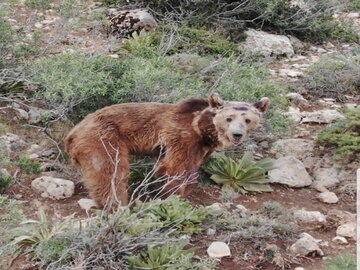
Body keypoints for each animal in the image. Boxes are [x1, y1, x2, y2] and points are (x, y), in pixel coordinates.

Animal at [65, 93, 270, 207]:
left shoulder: (201, 148)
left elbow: (192, 168)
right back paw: (116, 203)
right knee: (110, 171)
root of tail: (72, 133)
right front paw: (173, 195)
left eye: (247, 120)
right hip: (103, 137)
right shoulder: (182, 136)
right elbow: (175, 167)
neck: (204, 130)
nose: (237, 134)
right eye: (229, 118)